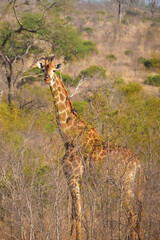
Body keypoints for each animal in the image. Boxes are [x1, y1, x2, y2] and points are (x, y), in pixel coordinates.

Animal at [38, 56, 143, 240]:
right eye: (44, 68)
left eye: (54, 69)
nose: (46, 79)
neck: (67, 136)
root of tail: (138, 163)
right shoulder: (75, 178)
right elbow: (73, 213)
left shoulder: (72, 176)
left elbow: (77, 213)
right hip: (132, 184)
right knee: (137, 212)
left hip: (125, 183)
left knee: (132, 213)